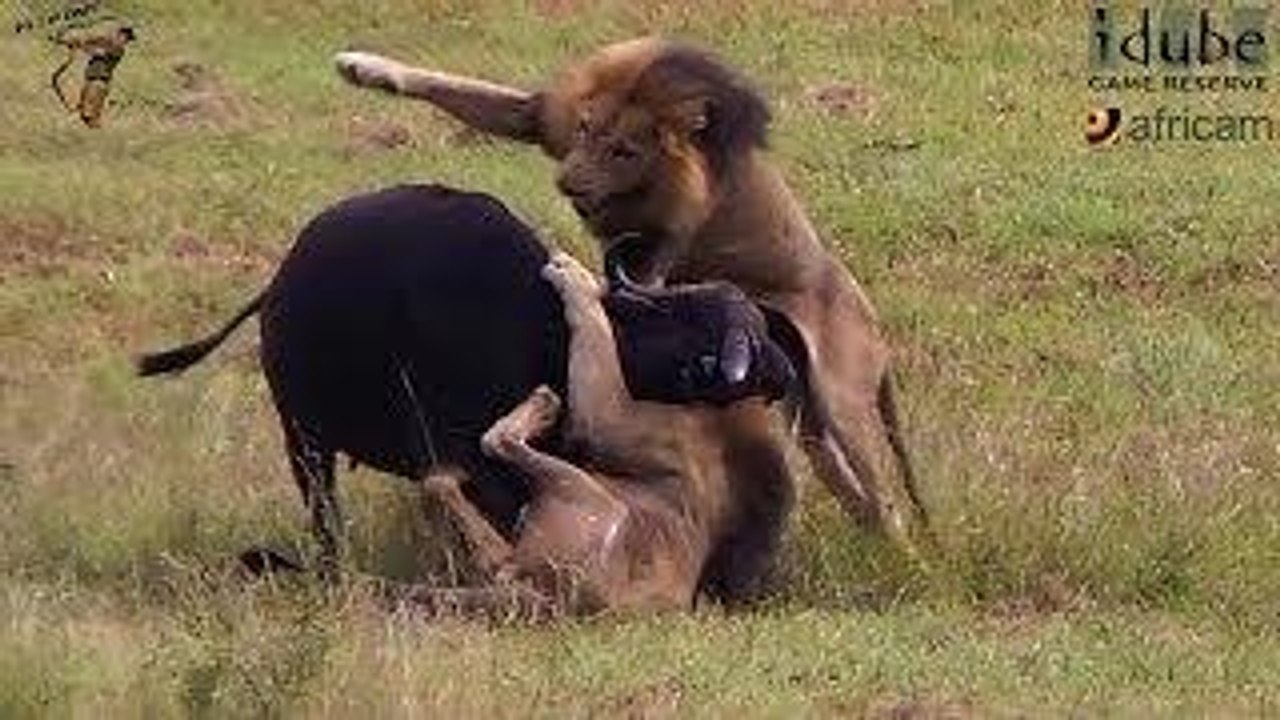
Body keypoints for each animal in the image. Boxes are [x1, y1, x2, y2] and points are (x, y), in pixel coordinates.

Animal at [334, 38, 927, 543]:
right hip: (810, 424)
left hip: (844, 402)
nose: (567, 183)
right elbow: (452, 85)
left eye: (624, 150)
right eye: (585, 130)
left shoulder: (667, 250)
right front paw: (362, 67)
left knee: (884, 494)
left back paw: (903, 555)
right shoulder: (538, 119)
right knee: (854, 489)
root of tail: (871, 319)